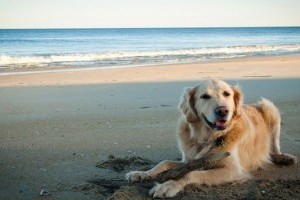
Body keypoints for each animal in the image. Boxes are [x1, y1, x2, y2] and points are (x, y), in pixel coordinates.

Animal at [124, 79, 296, 198]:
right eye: (205, 96)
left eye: (227, 94)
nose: (223, 111)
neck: (207, 138)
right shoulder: (189, 160)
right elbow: (164, 163)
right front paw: (142, 173)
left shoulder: (232, 170)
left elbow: (191, 174)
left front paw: (169, 185)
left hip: (270, 108)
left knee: (275, 147)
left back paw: (283, 157)